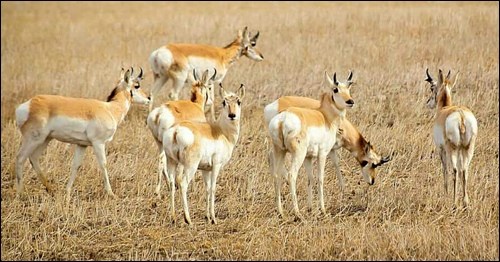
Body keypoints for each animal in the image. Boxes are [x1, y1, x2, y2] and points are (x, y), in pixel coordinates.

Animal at [14, 67, 149, 199]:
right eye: (137, 85)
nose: (149, 98)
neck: (110, 109)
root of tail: (27, 105)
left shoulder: (82, 145)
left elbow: (76, 166)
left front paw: (67, 192)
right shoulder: (98, 143)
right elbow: (103, 165)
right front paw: (111, 194)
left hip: (45, 139)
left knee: (33, 158)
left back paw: (51, 189)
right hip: (33, 139)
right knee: (20, 158)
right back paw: (20, 194)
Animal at [145, 67, 215, 196]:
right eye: (209, 87)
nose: (211, 101)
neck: (195, 105)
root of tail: (159, 113)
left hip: (159, 143)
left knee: (161, 160)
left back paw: (161, 189)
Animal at [162, 83, 244, 224]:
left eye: (238, 101)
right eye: (224, 102)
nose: (232, 115)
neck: (221, 132)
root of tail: (176, 130)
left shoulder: (206, 169)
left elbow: (207, 189)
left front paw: (207, 217)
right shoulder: (216, 166)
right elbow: (213, 188)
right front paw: (214, 218)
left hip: (171, 162)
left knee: (172, 184)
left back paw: (173, 217)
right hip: (190, 167)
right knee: (183, 184)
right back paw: (188, 219)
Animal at [266, 70, 356, 220]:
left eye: (348, 87)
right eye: (335, 89)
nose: (350, 101)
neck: (325, 117)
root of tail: (283, 119)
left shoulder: (309, 158)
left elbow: (310, 179)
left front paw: (310, 208)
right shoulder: (322, 154)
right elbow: (320, 178)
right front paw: (323, 209)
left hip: (280, 151)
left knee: (276, 174)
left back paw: (281, 212)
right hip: (297, 155)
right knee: (291, 175)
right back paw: (297, 212)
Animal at [424, 68, 478, 208]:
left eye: (432, 88)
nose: (428, 103)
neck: (444, 108)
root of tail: (461, 115)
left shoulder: (441, 150)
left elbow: (445, 170)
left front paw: (445, 194)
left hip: (451, 149)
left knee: (454, 170)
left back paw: (454, 203)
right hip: (467, 149)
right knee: (464, 171)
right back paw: (465, 202)